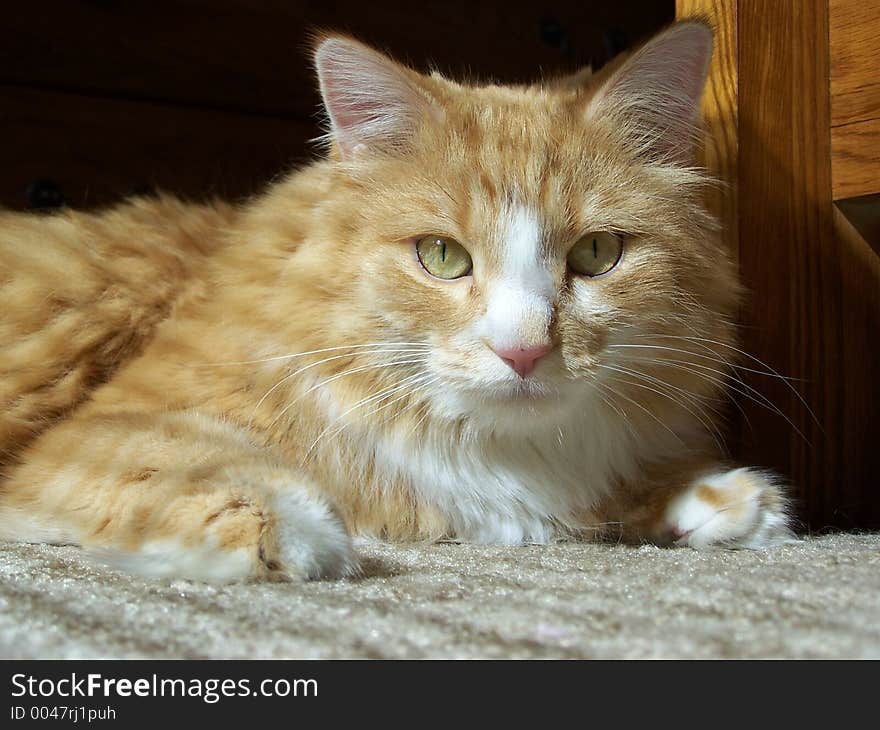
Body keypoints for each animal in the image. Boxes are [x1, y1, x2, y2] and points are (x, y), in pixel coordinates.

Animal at [0, 21, 796, 580]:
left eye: (597, 254)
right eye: (442, 257)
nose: (524, 351)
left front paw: (711, 500)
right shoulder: (91, 433)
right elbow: (192, 460)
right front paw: (301, 531)